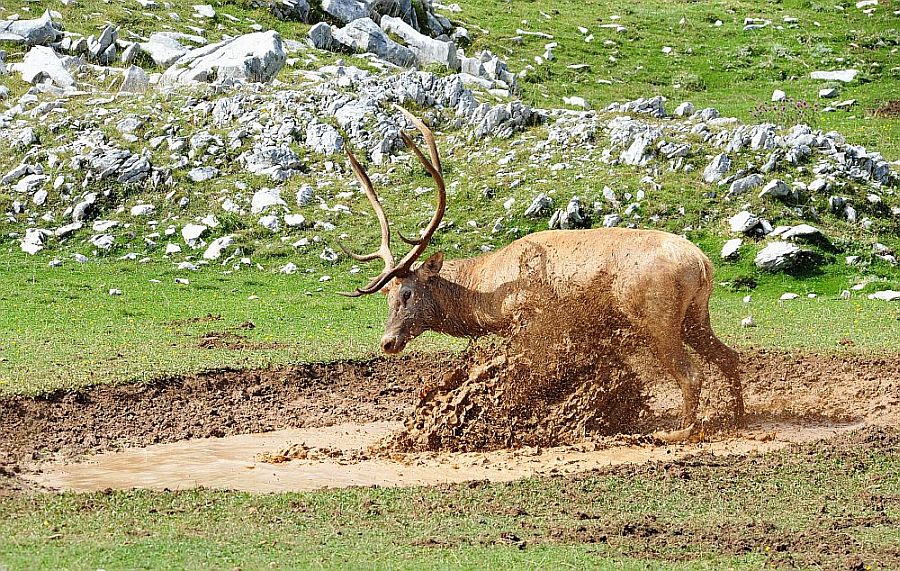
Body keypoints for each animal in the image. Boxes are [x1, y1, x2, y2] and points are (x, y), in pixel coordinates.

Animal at [338, 105, 744, 440]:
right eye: (387, 296)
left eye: (407, 293)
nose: (387, 342)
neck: (485, 296)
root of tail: (702, 263)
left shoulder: (531, 323)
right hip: (696, 315)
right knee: (729, 356)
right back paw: (737, 417)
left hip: (656, 316)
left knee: (691, 373)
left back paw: (681, 431)